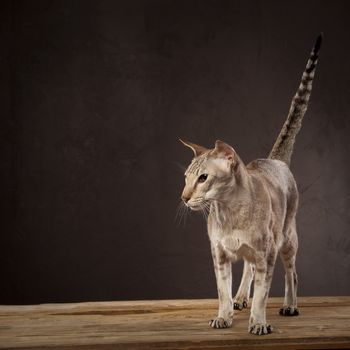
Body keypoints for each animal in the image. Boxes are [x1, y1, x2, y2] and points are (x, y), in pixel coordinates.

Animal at [180, 33, 322, 336]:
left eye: (203, 178)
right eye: (185, 178)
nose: (184, 197)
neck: (229, 212)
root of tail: (273, 160)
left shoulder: (266, 254)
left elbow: (263, 293)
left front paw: (258, 323)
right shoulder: (219, 254)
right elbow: (223, 291)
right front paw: (224, 316)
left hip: (287, 239)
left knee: (292, 273)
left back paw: (289, 306)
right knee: (247, 268)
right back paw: (240, 298)